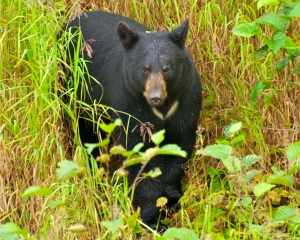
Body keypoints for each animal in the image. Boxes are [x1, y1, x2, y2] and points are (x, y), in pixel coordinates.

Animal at [61, 11, 202, 231]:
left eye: (166, 69)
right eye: (144, 69)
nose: (155, 97)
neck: (162, 109)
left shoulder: (186, 100)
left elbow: (179, 147)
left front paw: (171, 201)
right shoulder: (129, 104)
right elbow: (136, 153)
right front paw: (152, 218)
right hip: (76, 91)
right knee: (87, 135)